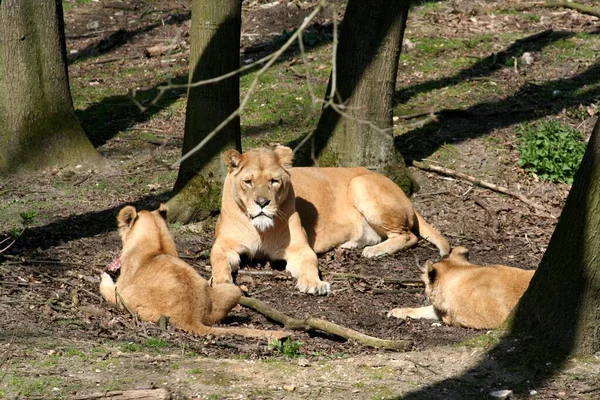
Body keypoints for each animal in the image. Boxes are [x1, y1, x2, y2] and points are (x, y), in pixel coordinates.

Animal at [100, 205, 288, 340]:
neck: (157, 245)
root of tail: (191, 317)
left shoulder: (119, 290)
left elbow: (107, 289)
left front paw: (104, 275)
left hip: (129, 296)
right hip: (232, 289)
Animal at [209, 145, 448, 296]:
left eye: (274, 181)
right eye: (248, 182)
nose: (262, 203)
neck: (260, 229)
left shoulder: (299, 248)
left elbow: (310, 264)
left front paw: (314, 284)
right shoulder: (223, 245)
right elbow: (218, 261)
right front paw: (221, 282)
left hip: (360, 184)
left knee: (408, 235)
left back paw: (374, 251)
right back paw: (353, 244)